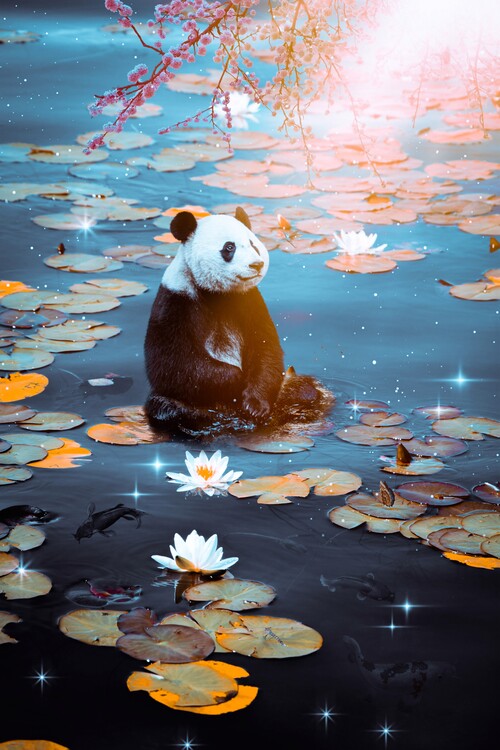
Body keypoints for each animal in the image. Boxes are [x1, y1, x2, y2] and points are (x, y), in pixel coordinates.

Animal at [144, 206, 333, 435]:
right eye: (229, 247)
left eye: (253, 244)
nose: (257, 264)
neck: (217, 293)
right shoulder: (174, 302)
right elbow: (172, 364)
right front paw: (235, 379)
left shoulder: (250, 301)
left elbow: (265, 350)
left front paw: (255, 405)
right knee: (166, 408)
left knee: (305, 389)